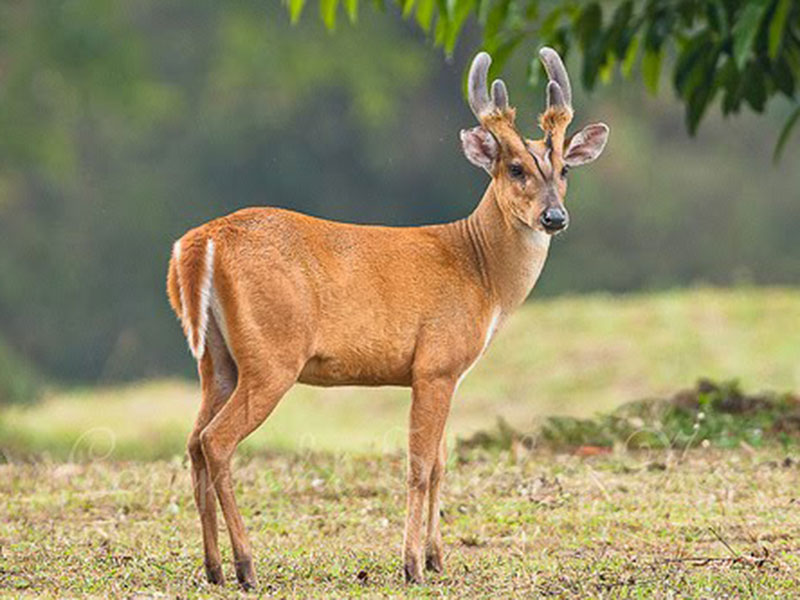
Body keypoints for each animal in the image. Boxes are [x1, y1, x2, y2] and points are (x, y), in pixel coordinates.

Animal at [166, 48, 608, 592]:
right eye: (515, 168)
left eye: (564, 168)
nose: (554, 217)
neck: (479, 267)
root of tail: (199, 243)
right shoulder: (435, 363)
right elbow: (419, 465)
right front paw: (412, 564)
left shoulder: (450, 374)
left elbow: (440, 462)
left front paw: (438, 559)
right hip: (272, 356)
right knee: (216, 441)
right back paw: (247, 568)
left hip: (217, 360)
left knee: (193, 442)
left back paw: (213, 570)